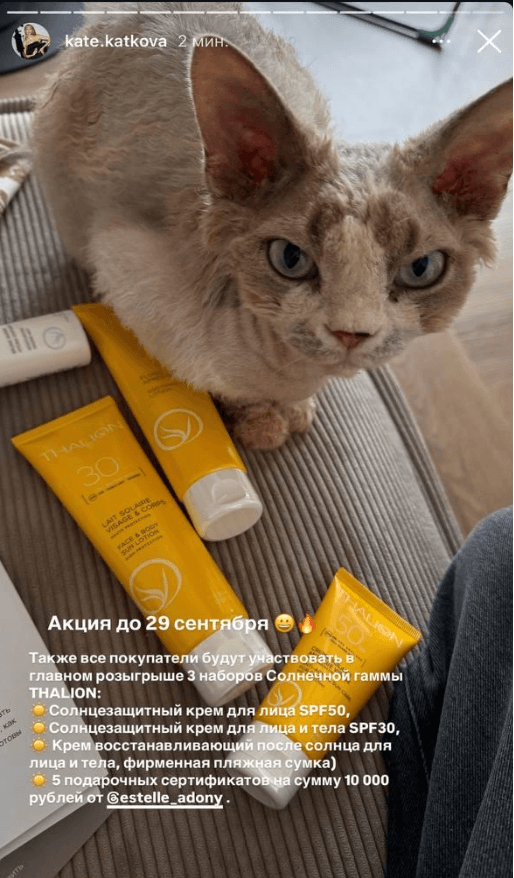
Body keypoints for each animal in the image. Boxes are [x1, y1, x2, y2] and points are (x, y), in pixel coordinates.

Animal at [31, 1, 512, 449]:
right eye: (290, 258)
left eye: (421, 269)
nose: (351, 333)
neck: (294, 369)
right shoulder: (124, 267)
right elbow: (223, 383)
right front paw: (260, 419)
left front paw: (290, 409)